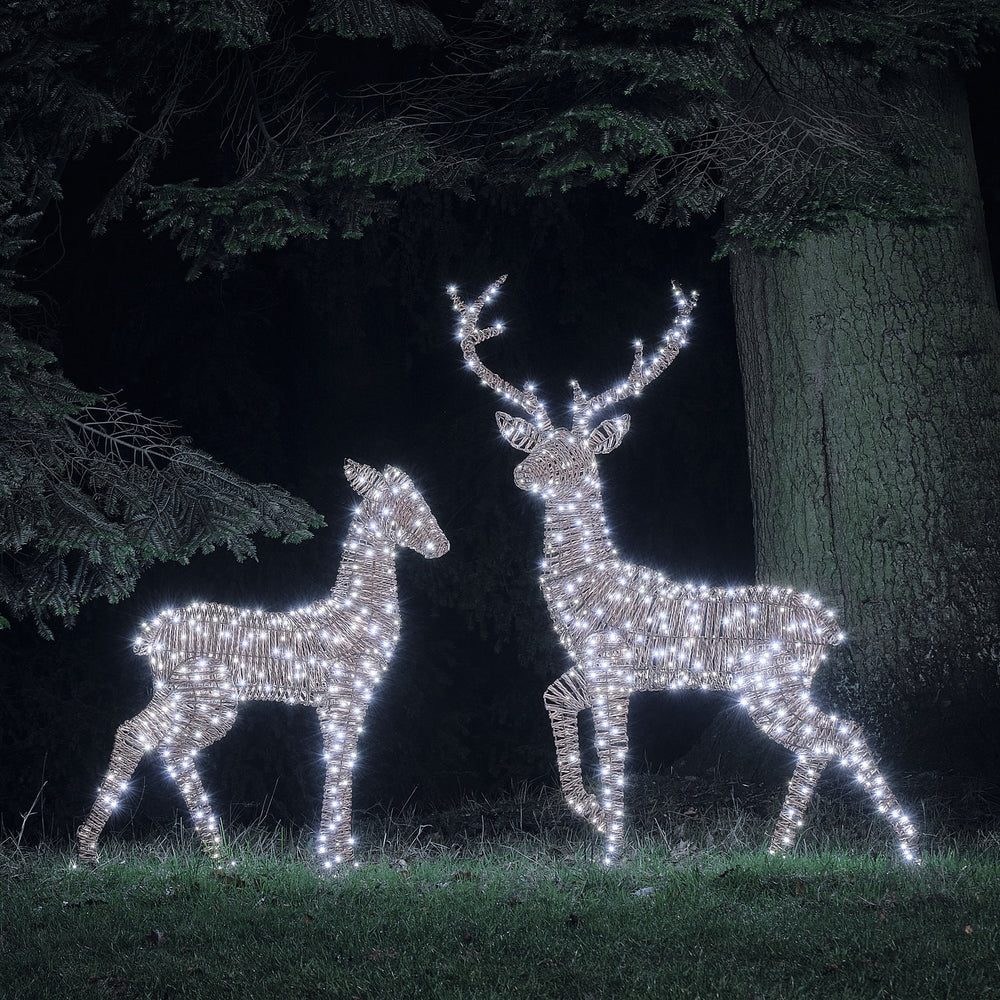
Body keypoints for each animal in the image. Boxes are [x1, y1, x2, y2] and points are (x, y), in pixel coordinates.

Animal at [77, 460, 449, 868]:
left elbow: (339, 756)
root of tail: (153, 634)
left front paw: (337, 854)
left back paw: (87, 850)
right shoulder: (345, 693)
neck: (354, 613)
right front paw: (335, 862)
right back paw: (219, 853)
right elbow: (340, 757)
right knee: (174, 748)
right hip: (211, 698)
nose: (442, 544)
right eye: (406, 503)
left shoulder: (338, 700)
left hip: (172, 693)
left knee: (133, 732)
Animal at [449, 276, 918, 864]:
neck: (590, 584)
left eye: (579, 456)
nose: (523, 473)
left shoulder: (613, 668)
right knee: (829, 737)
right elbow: (553, 700)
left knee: (839, 733)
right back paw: (784, 846)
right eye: (537, 444)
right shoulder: (593, 668)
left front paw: (613, 848)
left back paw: (902, 844)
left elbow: (615, 750)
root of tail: (830, 627)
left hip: (770, 683)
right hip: (778, 686)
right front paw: (595, 817)